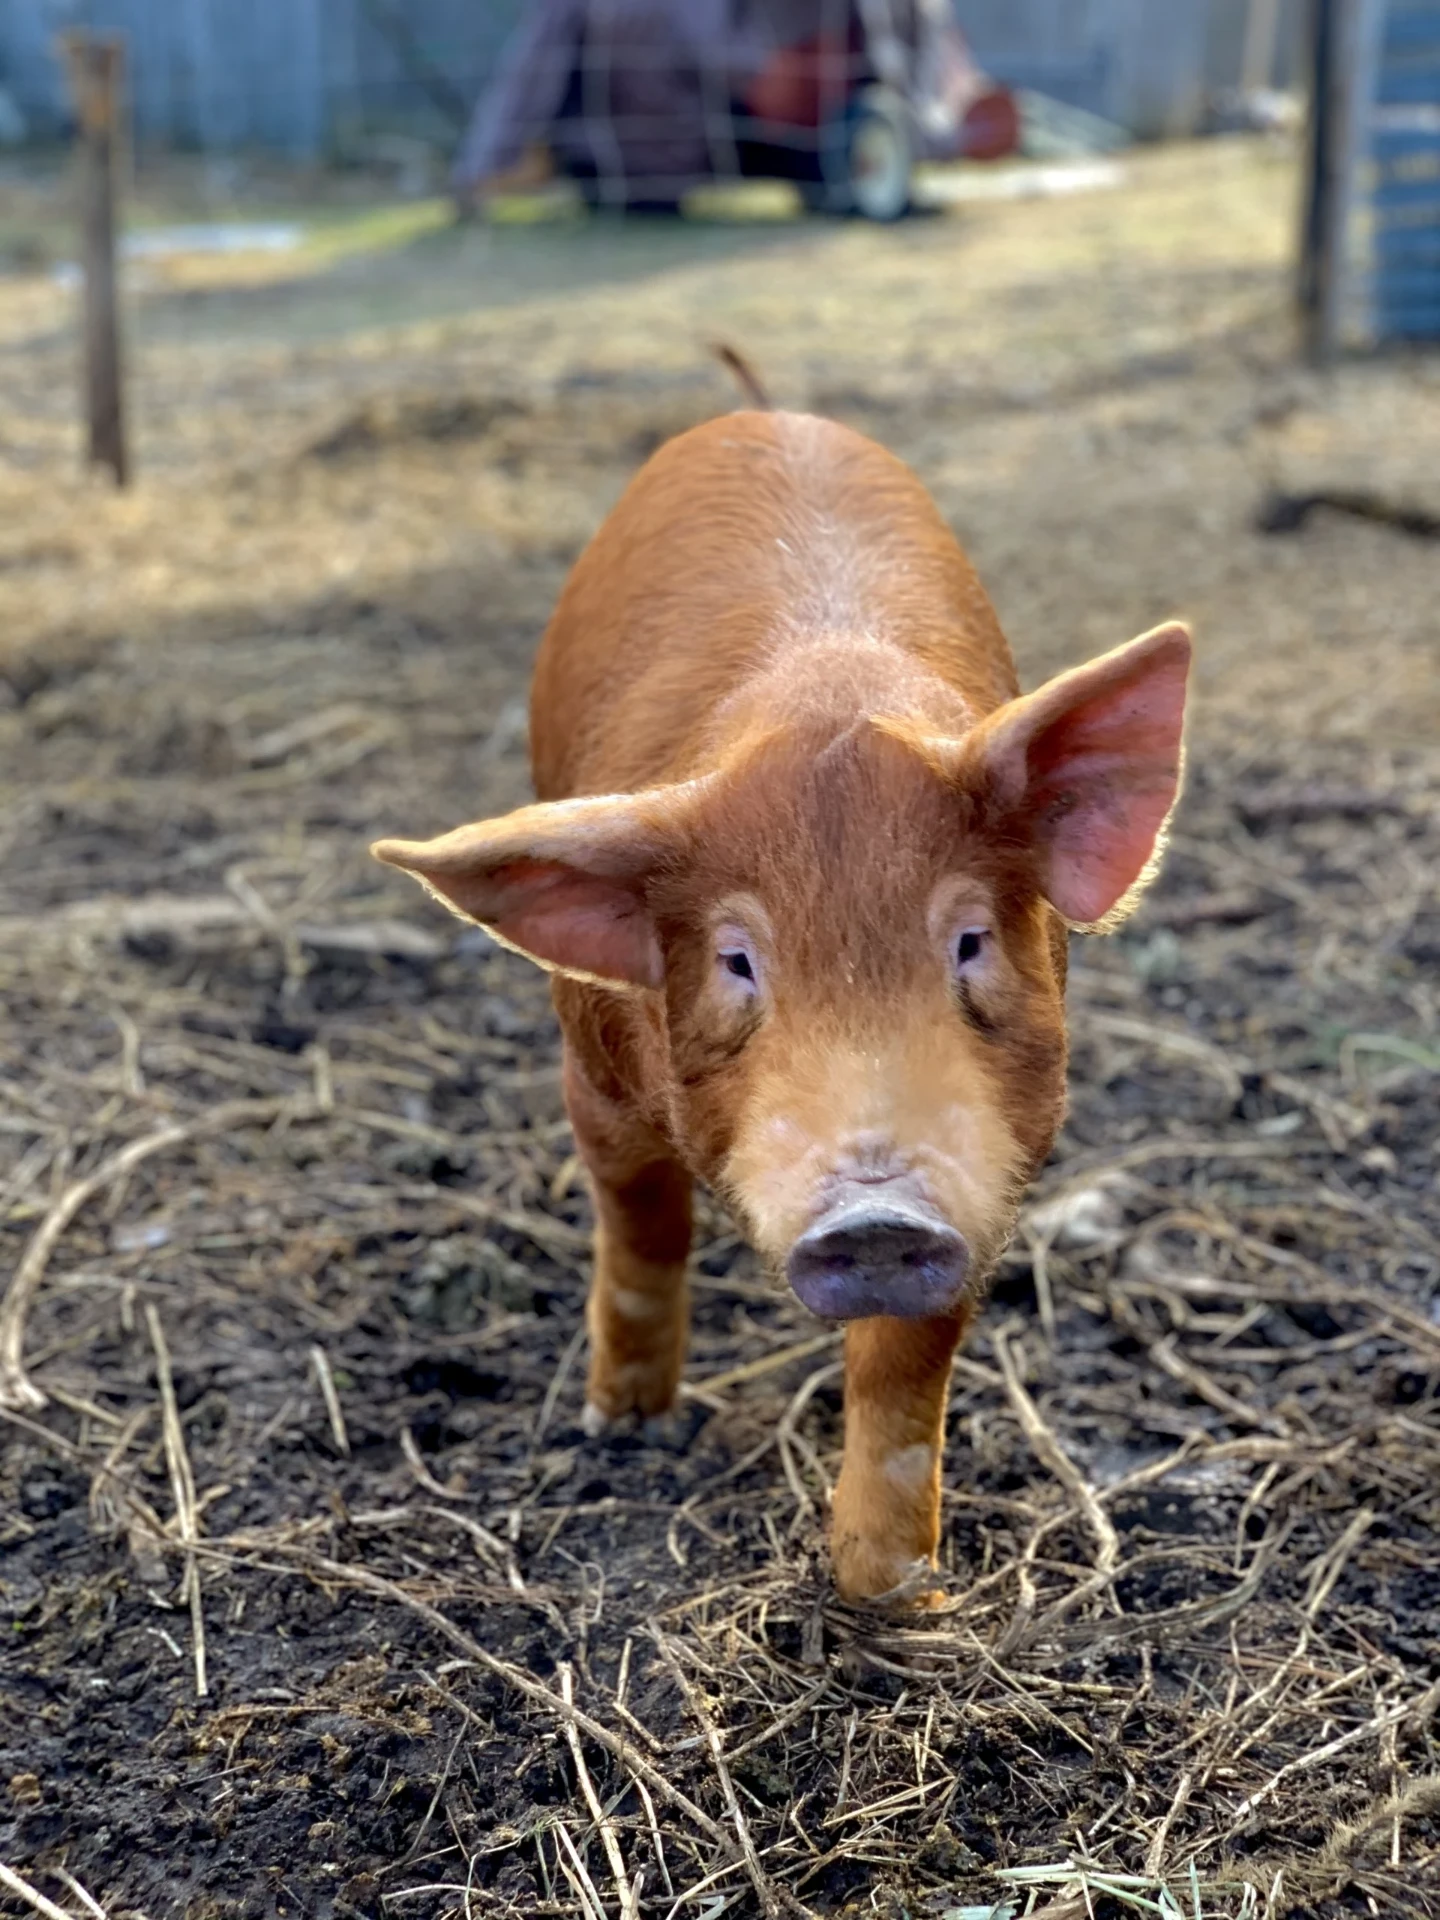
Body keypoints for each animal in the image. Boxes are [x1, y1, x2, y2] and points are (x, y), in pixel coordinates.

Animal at [372, 402, 1190, 1604]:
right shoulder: (591, 1072)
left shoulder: (990, 1158)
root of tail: (768, 411)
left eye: (969, 940)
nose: (877, 1213)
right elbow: (643, 1224)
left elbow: (909, 1361)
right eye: (737, 961)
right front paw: (622, 1424)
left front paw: (894, 1592)